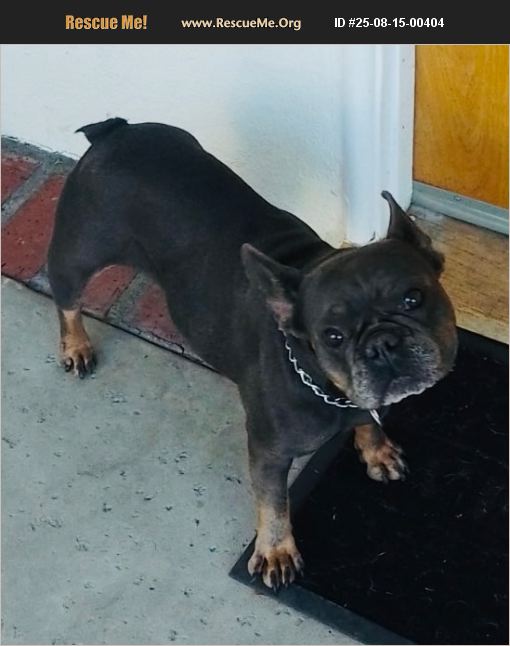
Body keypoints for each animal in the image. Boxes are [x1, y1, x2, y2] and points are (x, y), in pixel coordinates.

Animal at [47, 118, 458, 590]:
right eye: (332, 336)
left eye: (413, 298)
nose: (381, 344)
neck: (329, 386)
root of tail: (114, 130)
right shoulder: (269, 451)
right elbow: (273, 501)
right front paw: (276, 550)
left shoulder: (365, 401)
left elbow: (368, 423)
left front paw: (376, 449)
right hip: (78, 253)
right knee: (67, 300)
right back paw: (76, 345)